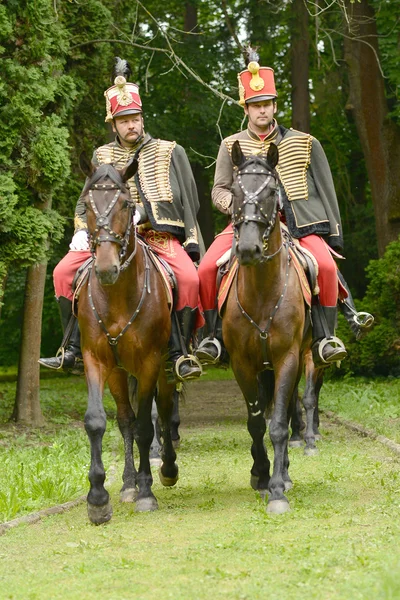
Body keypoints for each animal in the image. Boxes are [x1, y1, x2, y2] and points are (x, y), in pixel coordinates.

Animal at [76, 152, 178, 524]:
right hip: (120, 373)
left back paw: (167, 470)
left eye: (126, 204)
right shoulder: (96, 360)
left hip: (164, 369)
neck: (118, 296)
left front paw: (147, 492)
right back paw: (128, 483)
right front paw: (98, 497)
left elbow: (148, 426)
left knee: (164, 413)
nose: (106, 268)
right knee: (126, 421)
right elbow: (99, 422)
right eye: (88, 203)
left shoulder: (150, 362)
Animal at [222, 141, 316, 516]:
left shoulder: (287, 359)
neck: (263, 291)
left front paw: (277, 488)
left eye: (271, 191)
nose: (248, 248)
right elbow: (256, 422)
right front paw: (262, 475)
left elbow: (278, 423)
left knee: (287, 411)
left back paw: (285, 473)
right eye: (235, 192)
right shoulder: (242, 364)